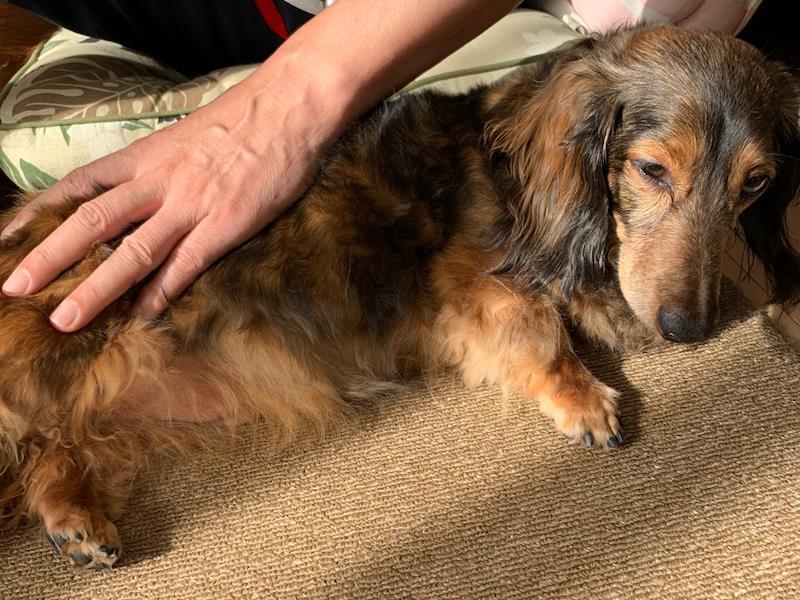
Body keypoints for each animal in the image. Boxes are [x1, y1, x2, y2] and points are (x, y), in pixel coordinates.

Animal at [0, 25, 798, 570]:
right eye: (651, 169)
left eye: (756, 184)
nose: (691, 328)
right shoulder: (477, 287)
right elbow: (542, 330)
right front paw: (584, 398)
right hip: (75, 337)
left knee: (50, 449)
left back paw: (76, 522)